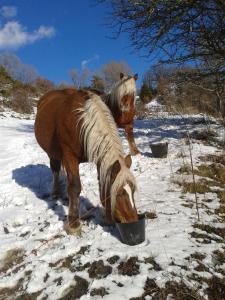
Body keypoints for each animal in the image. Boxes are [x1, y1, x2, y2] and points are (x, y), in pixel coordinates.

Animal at [34, 88, 139, 234]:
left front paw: (108, 219)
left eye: (132, 191)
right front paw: (73, 223)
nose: (133, 222)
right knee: (55, 170)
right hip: (52, 153)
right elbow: (74, 187)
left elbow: (102, 185)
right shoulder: (69, 157)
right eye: (119, 194)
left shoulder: (100, 158)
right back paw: (55, 193)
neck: (80, 122)